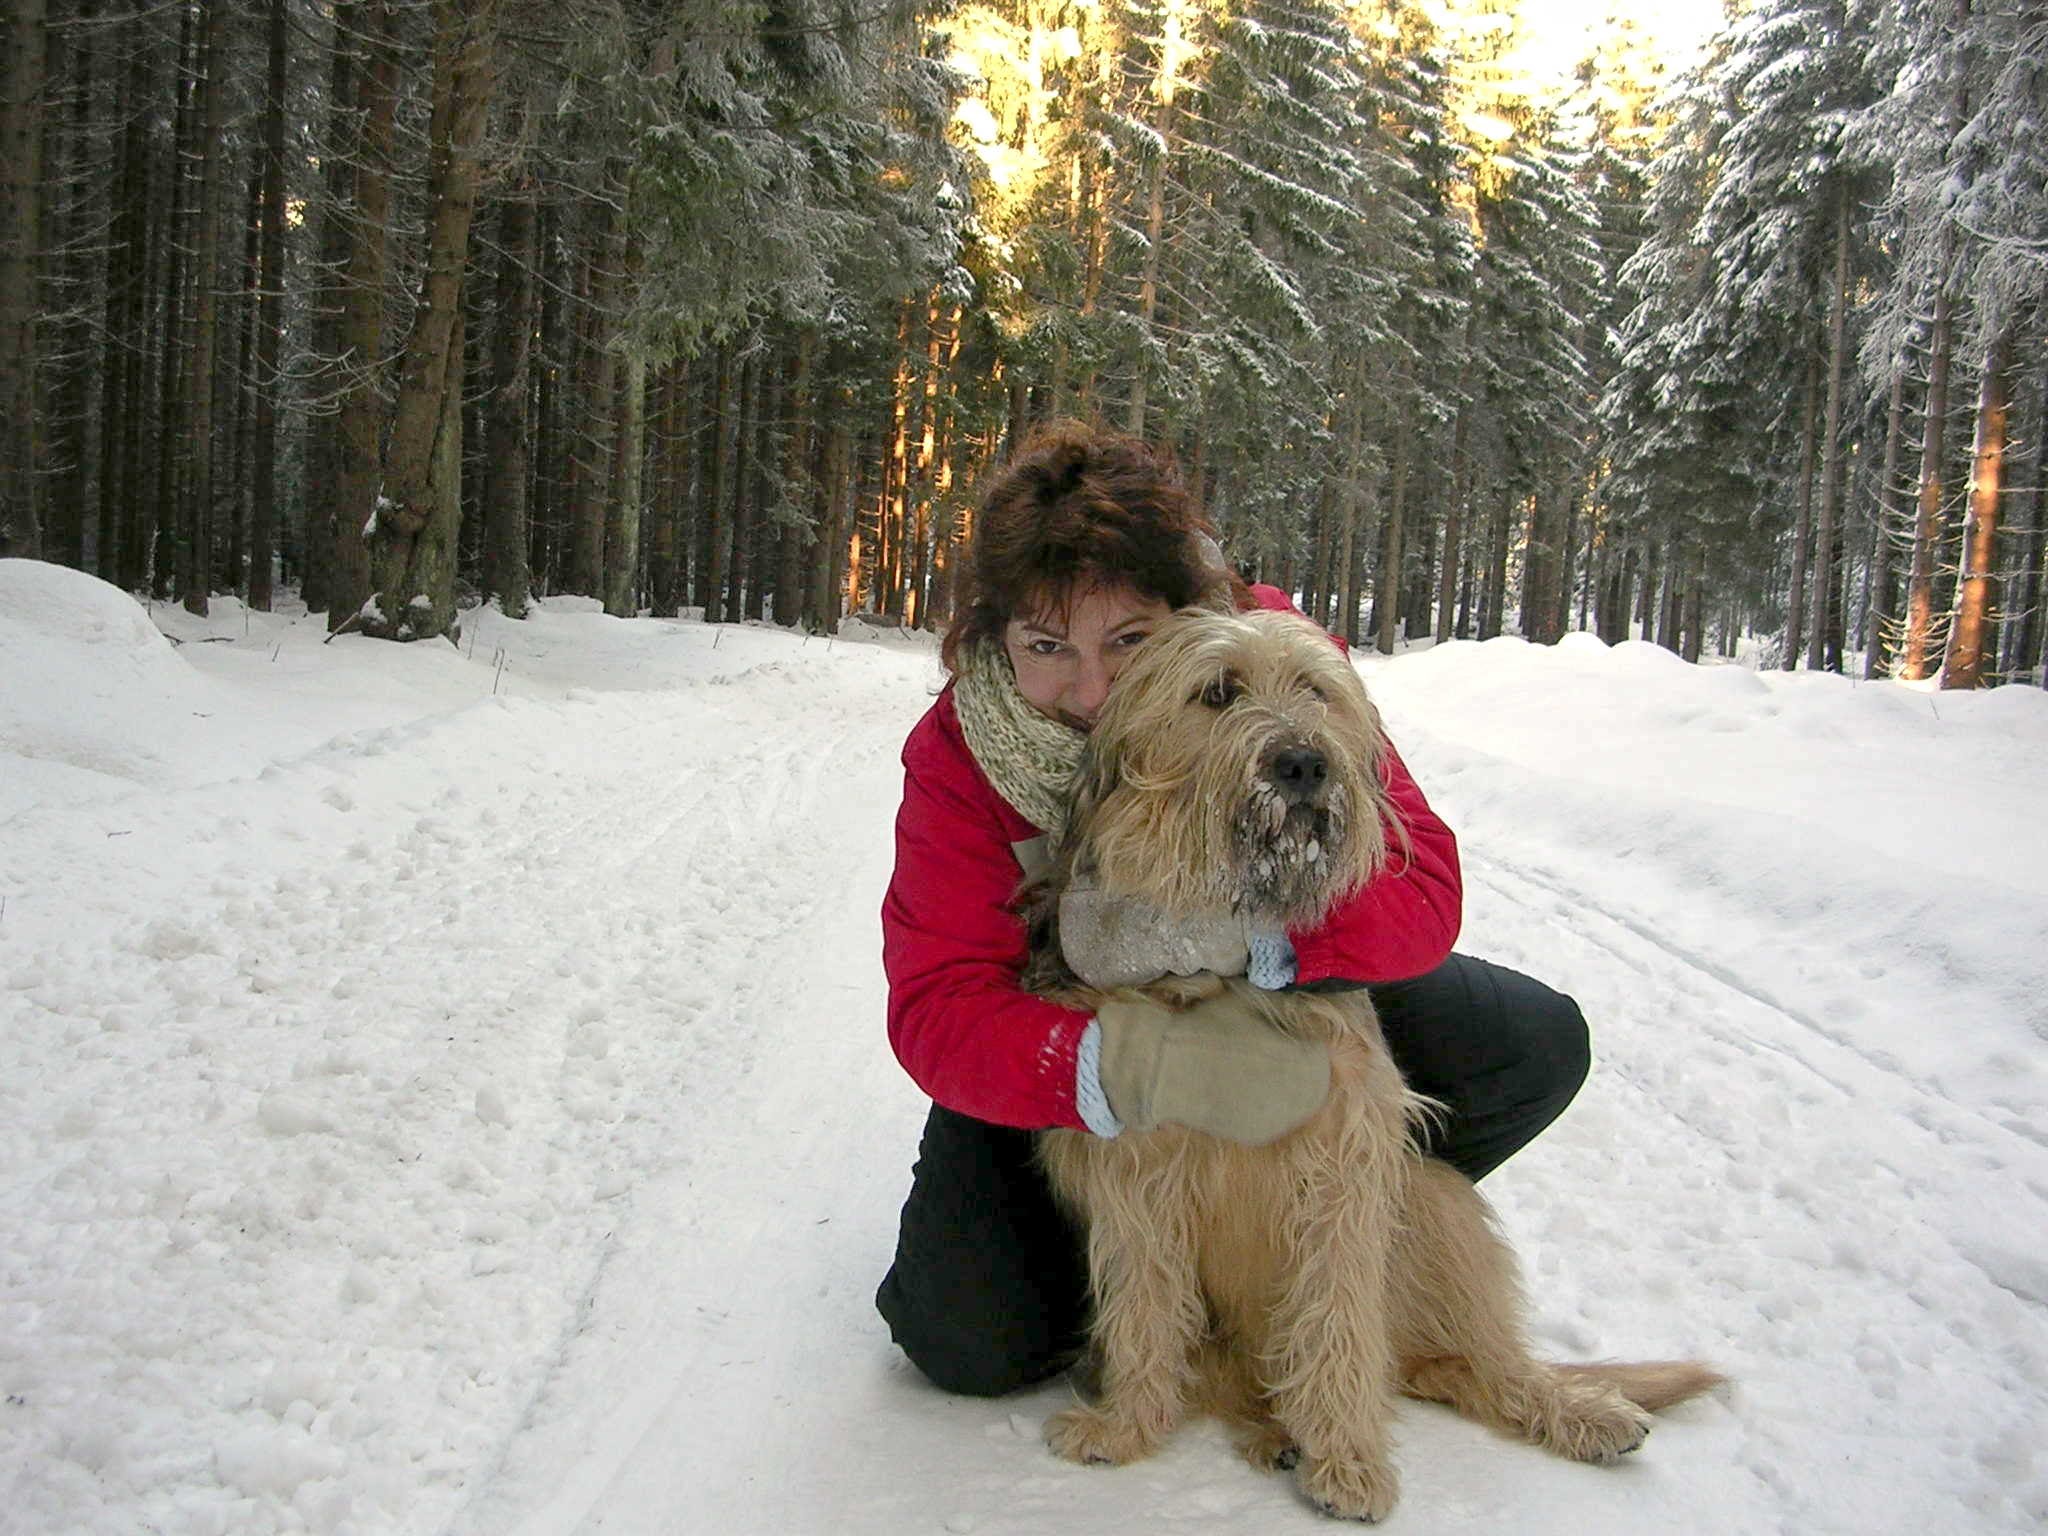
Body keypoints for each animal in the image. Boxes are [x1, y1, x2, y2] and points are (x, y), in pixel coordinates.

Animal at [1019, 610, 1712, 1531]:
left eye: (1316, 689)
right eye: (1218, 692)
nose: (1303, 764)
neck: (1223, 966)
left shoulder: (1345, 1160)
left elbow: (1339, 1315)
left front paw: (1348, 1459)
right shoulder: (1136, 1172)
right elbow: (1143, 1304)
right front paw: (1128, 1423)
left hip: (1435, 1204)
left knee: (1480, 1360)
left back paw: (1574, 1410)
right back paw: (1271, 1426)